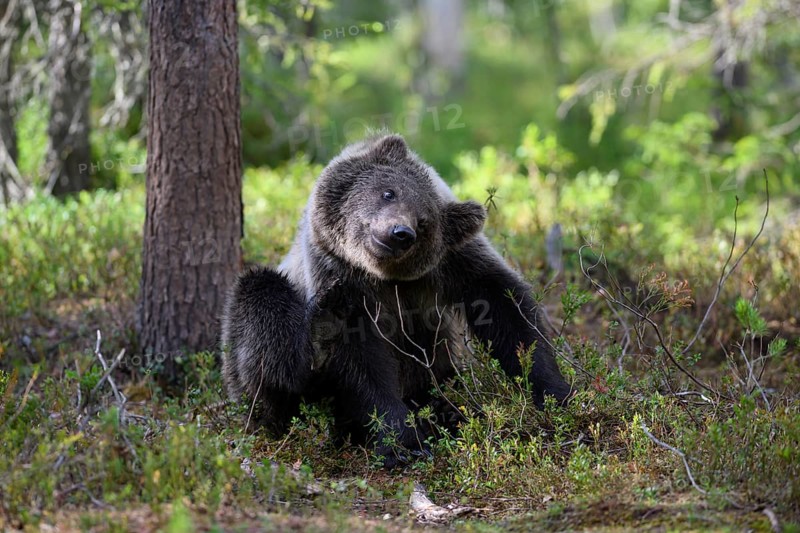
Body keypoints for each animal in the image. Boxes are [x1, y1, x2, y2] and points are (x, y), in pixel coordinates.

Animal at [221, 133, 572, 466]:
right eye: (389, 192)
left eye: (424, 221)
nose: (399, 233)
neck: (382, 279)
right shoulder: (340, 280)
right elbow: (362, 364)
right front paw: (404, 442)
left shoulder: (456, 265)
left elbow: (508, 313)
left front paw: (555, 392)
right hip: (246, 347)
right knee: (263, 310)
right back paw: (319, 334)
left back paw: (448, 413)